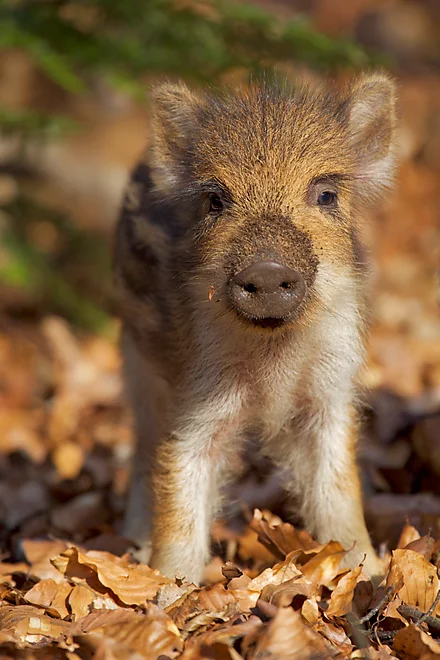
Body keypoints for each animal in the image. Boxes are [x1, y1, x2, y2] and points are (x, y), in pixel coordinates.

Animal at [114, 73, 398, 584]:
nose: (266, 269)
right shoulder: (196, 400)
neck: (273, 359)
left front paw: (367, 575)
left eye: (326, 195)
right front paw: (168, 591)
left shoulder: (328, 396)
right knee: (143, 446)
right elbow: (178, 492)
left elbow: (338, 491)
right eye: (214, 200)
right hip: (137, 363)